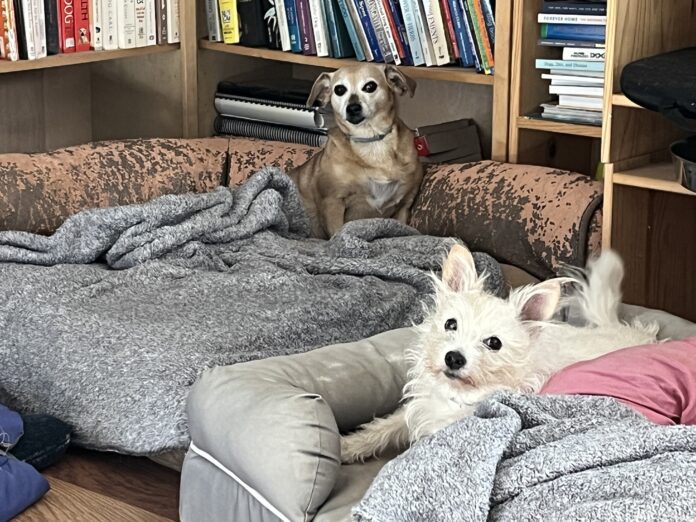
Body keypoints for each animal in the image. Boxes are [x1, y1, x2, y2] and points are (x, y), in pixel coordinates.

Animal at [290, 62, 424, 238]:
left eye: (370, 86)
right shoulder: (332, 203)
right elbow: (337, 232)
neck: (371, 140)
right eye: (339, 89)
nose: (353, 108)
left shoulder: (404, 205)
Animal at [342, 244, 656, 460]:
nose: (454, 357)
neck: (461, 394)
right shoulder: (420, 405)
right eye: (451, 324)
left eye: (494, 343)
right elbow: (386, 425)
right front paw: (348, 446)